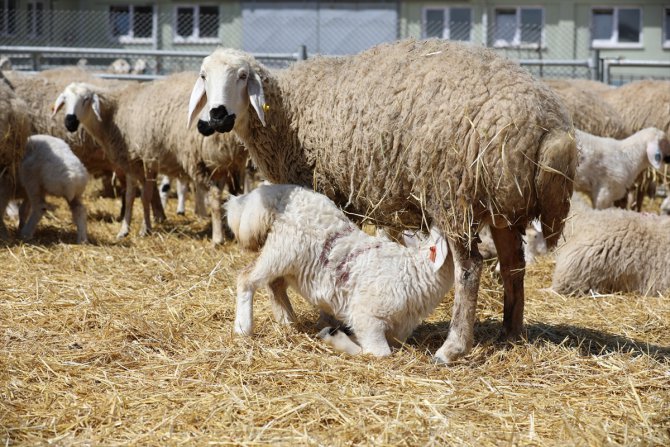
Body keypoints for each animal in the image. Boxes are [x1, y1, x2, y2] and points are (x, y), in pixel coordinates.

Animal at [227, 185, 456, 356]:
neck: (414, 272)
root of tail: (279, 191)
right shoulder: (367, 317)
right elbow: (378, 353)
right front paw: (335, 339)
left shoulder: (394, 331)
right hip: (283, 249)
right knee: (246, 278)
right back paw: (243, 327)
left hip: (287, 259)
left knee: (274, 284)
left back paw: (287, 321)